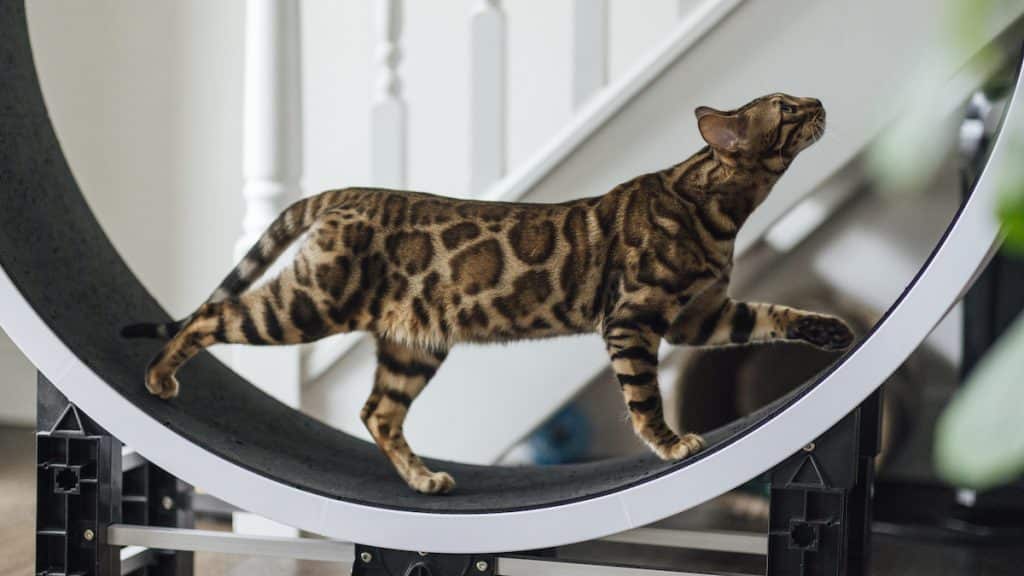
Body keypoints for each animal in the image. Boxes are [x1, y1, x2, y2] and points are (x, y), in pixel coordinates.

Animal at [123, 91, 851, 491]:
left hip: (413, 345)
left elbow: (772, 314)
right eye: (787, 110)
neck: (718, 208)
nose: (819, 102)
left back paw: (422, 478)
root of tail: (348, 193)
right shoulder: (636, 320)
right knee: (211, 315)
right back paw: (159, 376)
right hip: (309, 304)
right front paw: (670, 443)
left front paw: (831, 329)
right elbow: (643, 399)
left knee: (377, 412)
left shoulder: (701, 316)